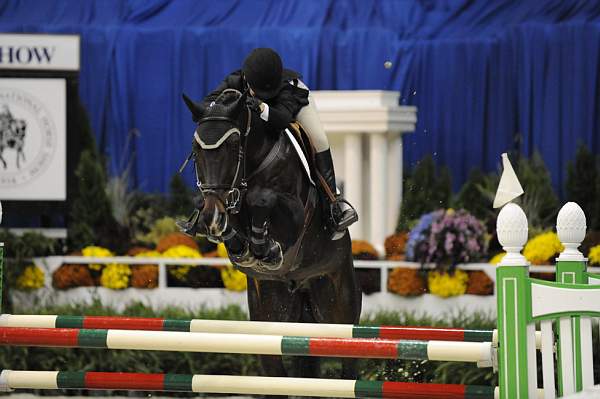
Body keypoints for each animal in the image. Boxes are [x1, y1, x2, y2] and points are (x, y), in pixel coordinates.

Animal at [180, 89, 360, 392]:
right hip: (272, 315)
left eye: (232, 147)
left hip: (337, 309)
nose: (212, 215)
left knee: (348, 367)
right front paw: (242, 246)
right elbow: (227, 219)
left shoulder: (296, 214)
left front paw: (268, 249)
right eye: (196, 150)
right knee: (276, 372)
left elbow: (261, 199)